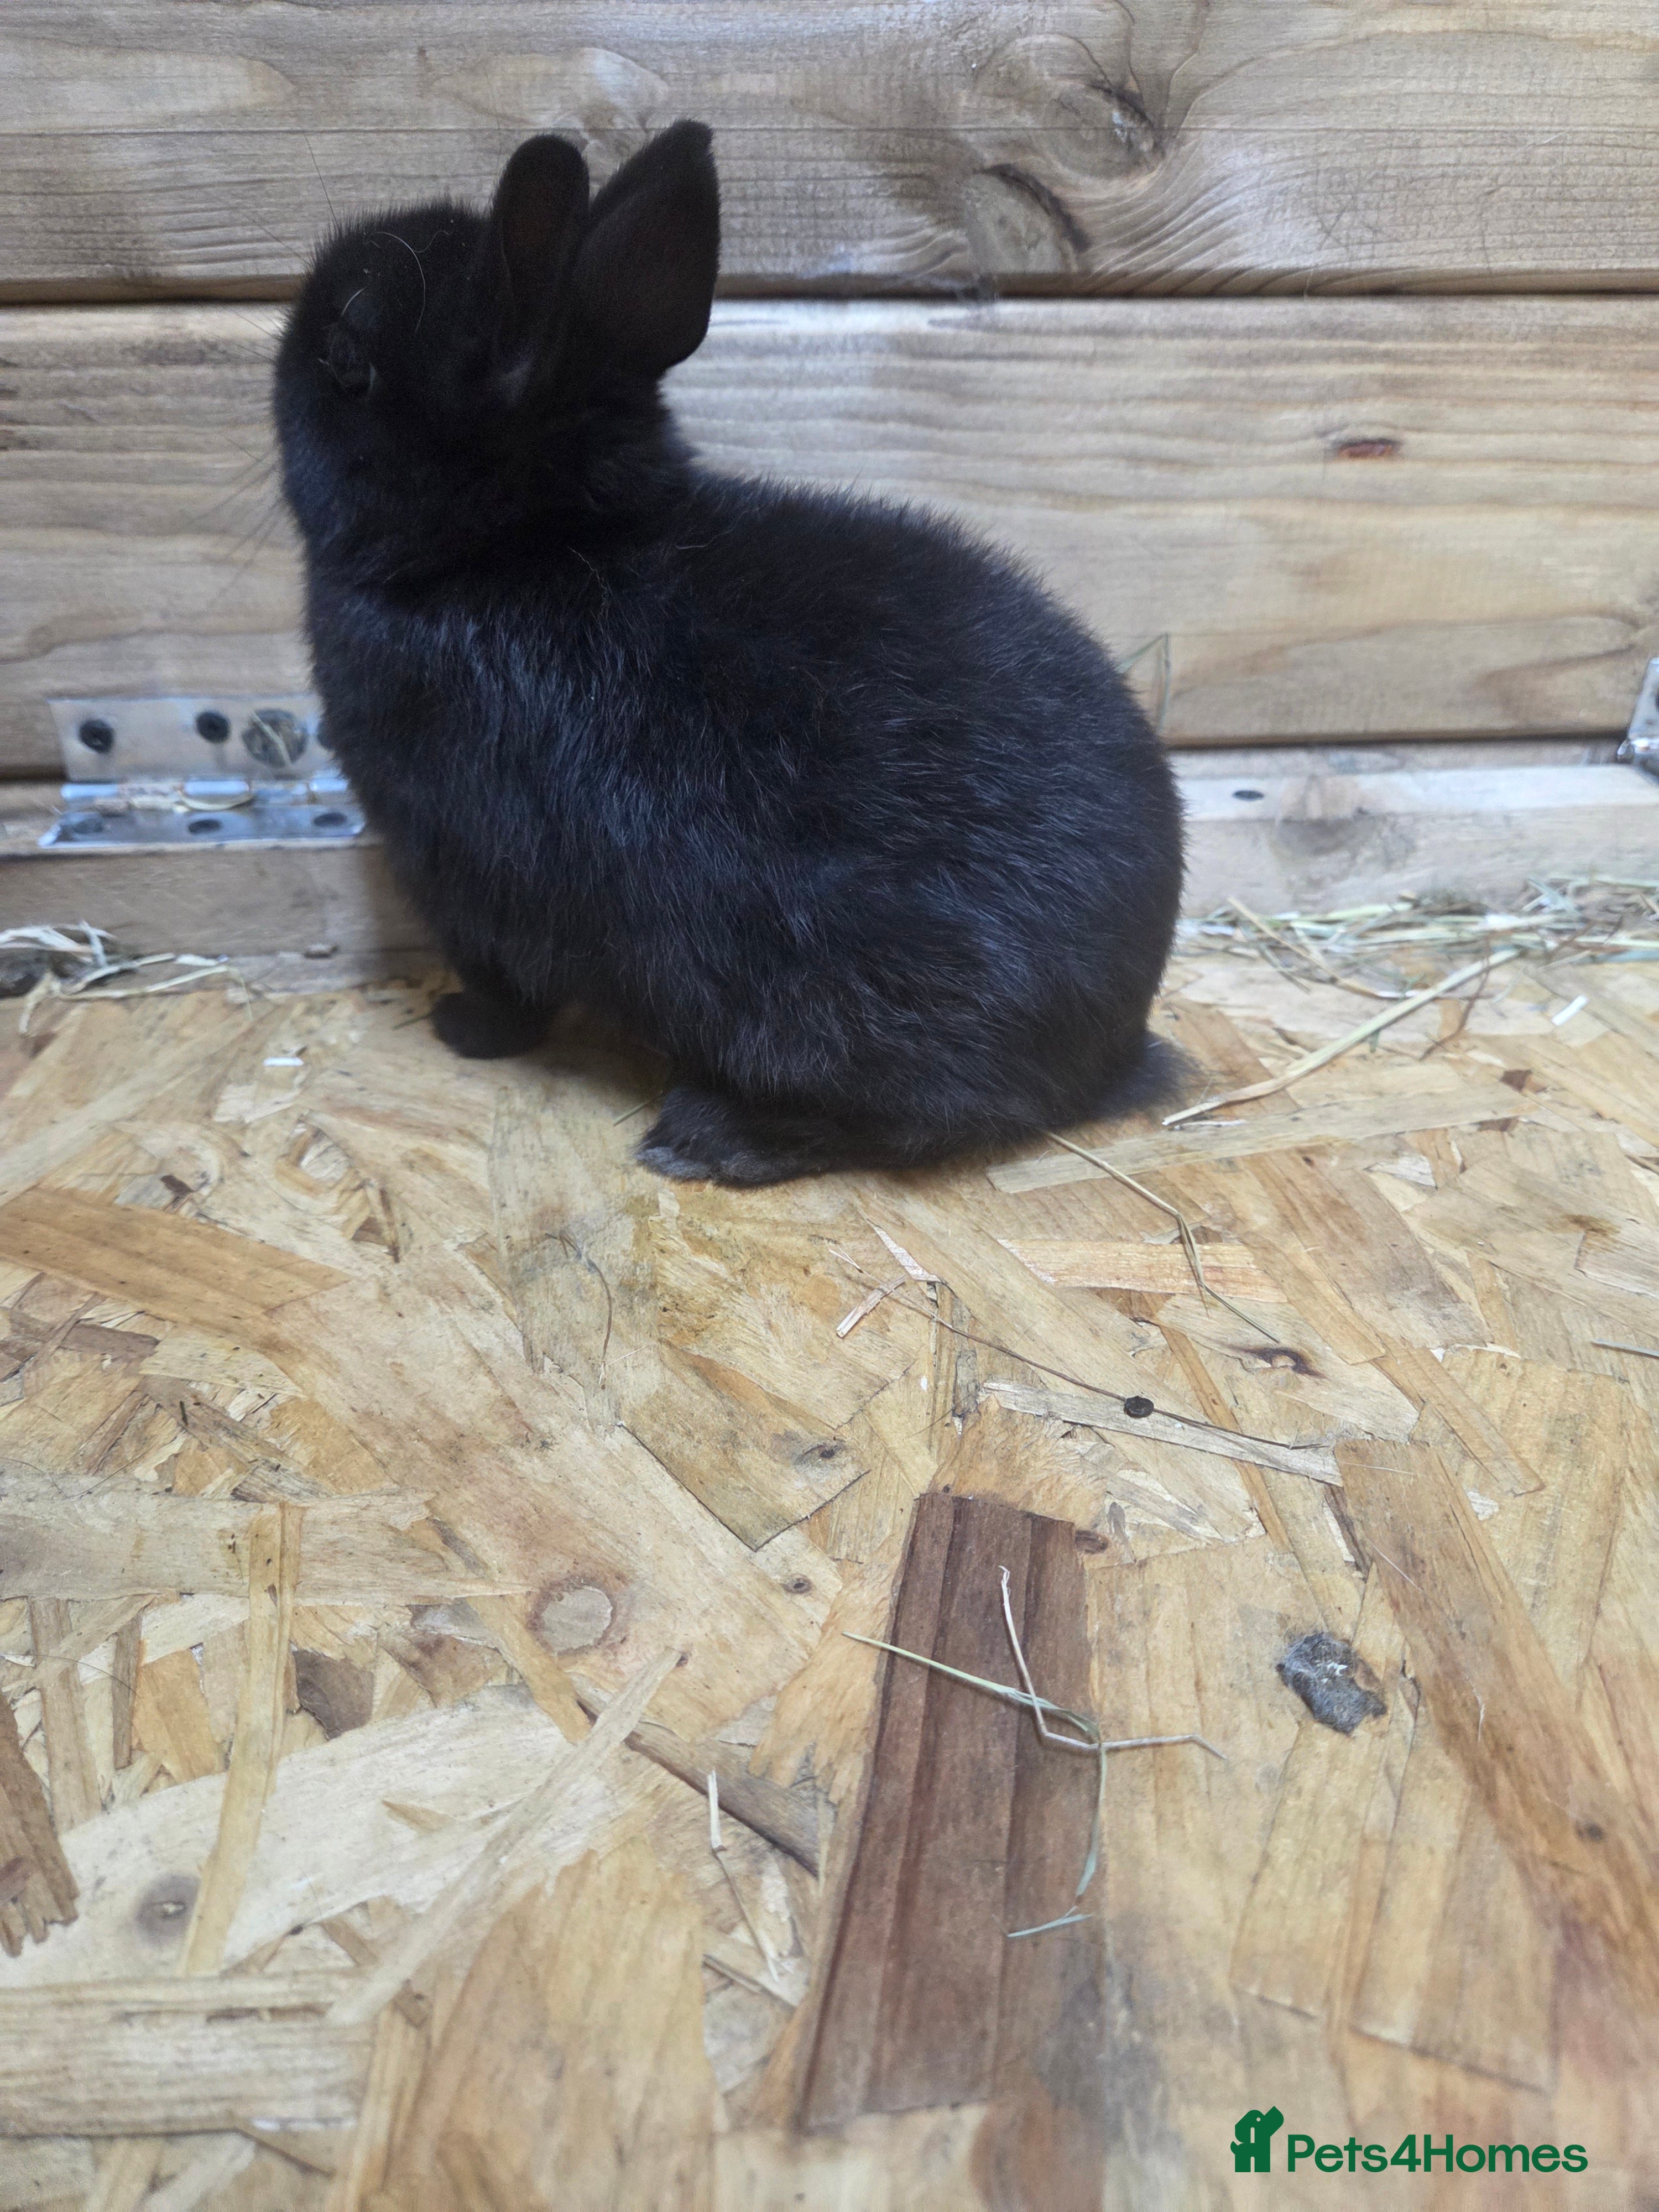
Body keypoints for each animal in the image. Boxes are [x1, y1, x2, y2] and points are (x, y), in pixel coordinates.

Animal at [274, 122, 1185, 1185]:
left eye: (347, 354)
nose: (296, 331)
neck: (510, 547)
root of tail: (1115, 1049)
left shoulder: (461, 876)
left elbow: (511, 992)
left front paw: (460, 1030)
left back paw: (711, 1137)